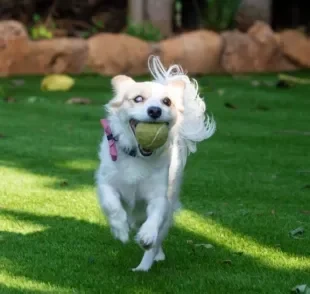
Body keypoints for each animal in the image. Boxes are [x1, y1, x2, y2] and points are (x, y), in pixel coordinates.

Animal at [95, 55, 216, 272]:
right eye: (138, 99)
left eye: (167, 101)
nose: (154, 110)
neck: (138, 157)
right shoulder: (105, 182)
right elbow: (112, 205)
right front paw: (120, 230)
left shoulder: (159, 196)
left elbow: (155, 217)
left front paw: (147, 235)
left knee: (156, 238)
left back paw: (144, 266)